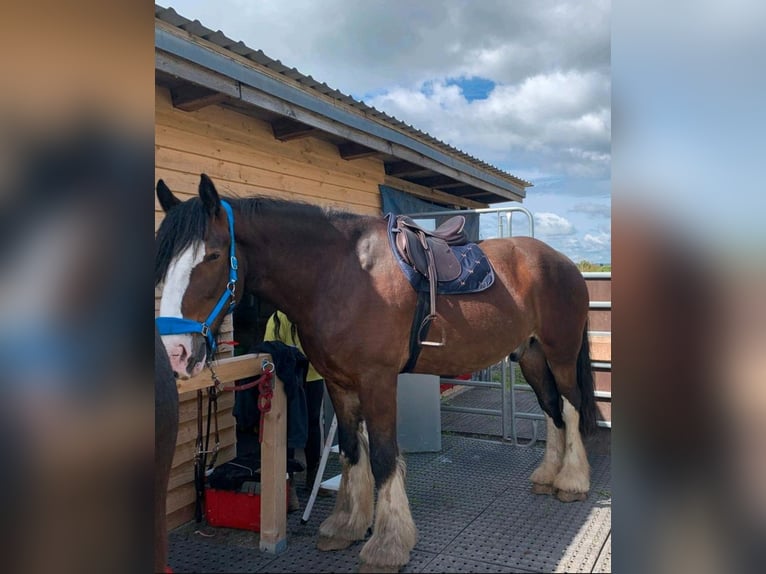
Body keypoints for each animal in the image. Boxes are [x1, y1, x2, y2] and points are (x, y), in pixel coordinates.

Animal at [154, 173, 597, 573]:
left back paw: (573, 482)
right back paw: (549, 475)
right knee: (552, 409)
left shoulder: (377, 381)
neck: (339, 273)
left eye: (212, 256)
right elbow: (353, 450)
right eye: (163, 261)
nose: (175, 352)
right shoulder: (339, 382)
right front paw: (346, 526)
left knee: (571, 407)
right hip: (531, 356)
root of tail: (564, 264)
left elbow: (384, 457)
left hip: (559, 354)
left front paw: (387, 545)